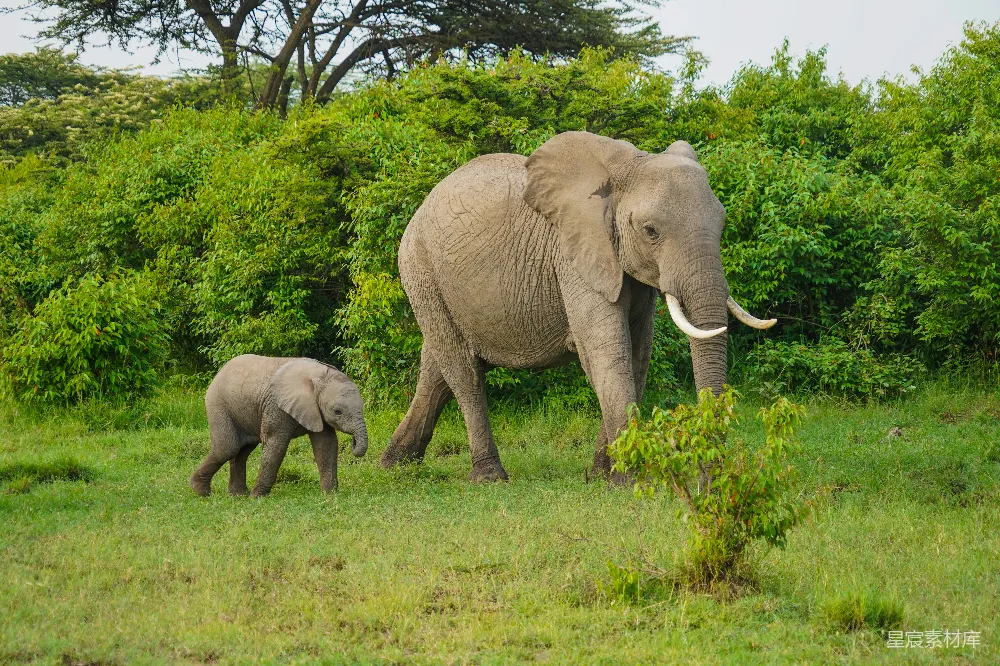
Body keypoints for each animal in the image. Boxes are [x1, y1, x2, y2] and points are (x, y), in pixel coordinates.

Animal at [190, 355, 368, 497]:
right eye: (337, 411)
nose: (353, 442)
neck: (318, 376)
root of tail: (220, 371)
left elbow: (326, 445)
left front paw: (331, 495)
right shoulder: (276, 406)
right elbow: (276, 445)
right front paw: (257, 497)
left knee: (242, 450)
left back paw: (238, 495)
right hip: (218, 405)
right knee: (227, 448)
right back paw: (201, 491)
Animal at [380, 131, 775, 482]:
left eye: (722, 226)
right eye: (650, 231)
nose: (711, 480)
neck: (626, 169)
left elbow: (638, 354)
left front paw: (603, 474)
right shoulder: (573, 257)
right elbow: (606, 352)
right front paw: (627, 479)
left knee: (437, 367)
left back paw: (394, 464)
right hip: (421, 270)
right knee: (463, 370)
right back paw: (488, 477)